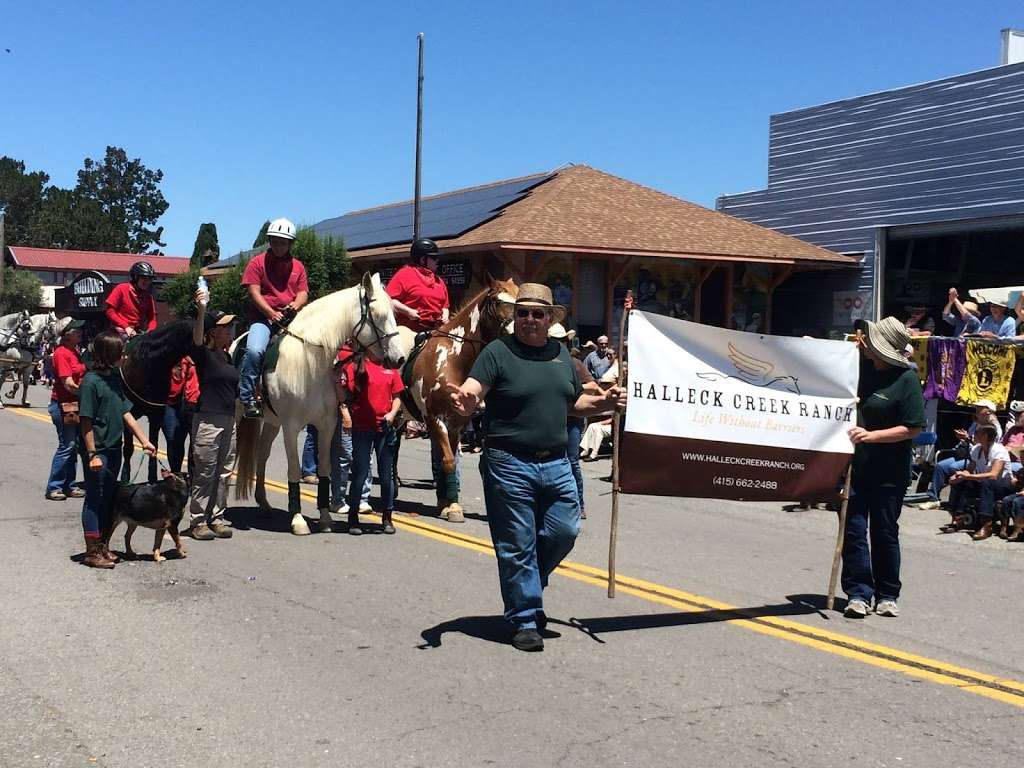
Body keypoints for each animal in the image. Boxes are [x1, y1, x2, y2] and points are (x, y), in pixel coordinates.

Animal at [234, 274, 405, 536]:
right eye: (377, 315)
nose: (399, 358)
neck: (310, 365)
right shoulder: (291, 427)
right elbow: (294, 469)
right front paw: (298, 520)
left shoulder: (326, 426)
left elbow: (325, 469)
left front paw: (325, 518)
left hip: (271, 422)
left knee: (261, 455)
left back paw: (263, 503)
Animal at [401, 276, 516, 524]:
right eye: (497, 301)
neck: (452, 360)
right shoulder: (434, 419)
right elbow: (448, 461)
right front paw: (451, 506)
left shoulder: (457, 423)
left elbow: (449, 460)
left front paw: (448, 503)